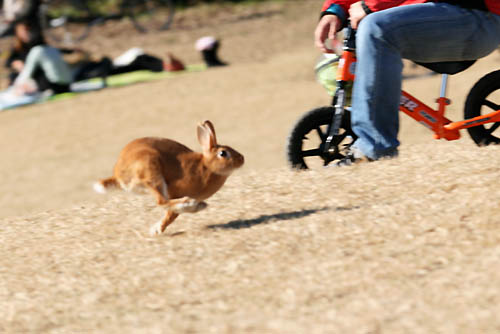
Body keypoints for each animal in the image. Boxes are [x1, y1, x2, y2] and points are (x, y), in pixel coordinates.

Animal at [94, 120, 244, 235]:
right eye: (223, 153)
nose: (242, 159)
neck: (207, 166)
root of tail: (118, 176)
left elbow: (171, 215)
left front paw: (156, 230)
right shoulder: (176, 190)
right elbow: (170, 209)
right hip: (151, 172)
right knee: (161, 201)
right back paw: (196, 205)